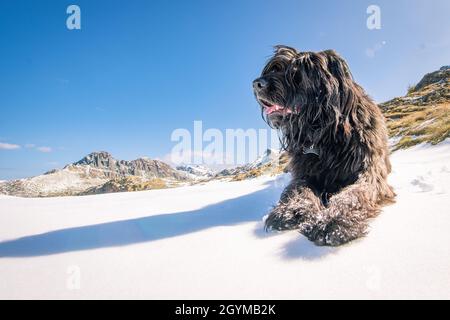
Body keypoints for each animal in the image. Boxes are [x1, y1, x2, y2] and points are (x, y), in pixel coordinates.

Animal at [255, 45, 396, 245]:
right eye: (274, 68)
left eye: (296, 73)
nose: (257, 84)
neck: (325, 134)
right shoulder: (304, 172)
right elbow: (299, 189)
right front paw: (292, 210)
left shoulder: (369, 171)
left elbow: (354, 194)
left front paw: (333, 220)